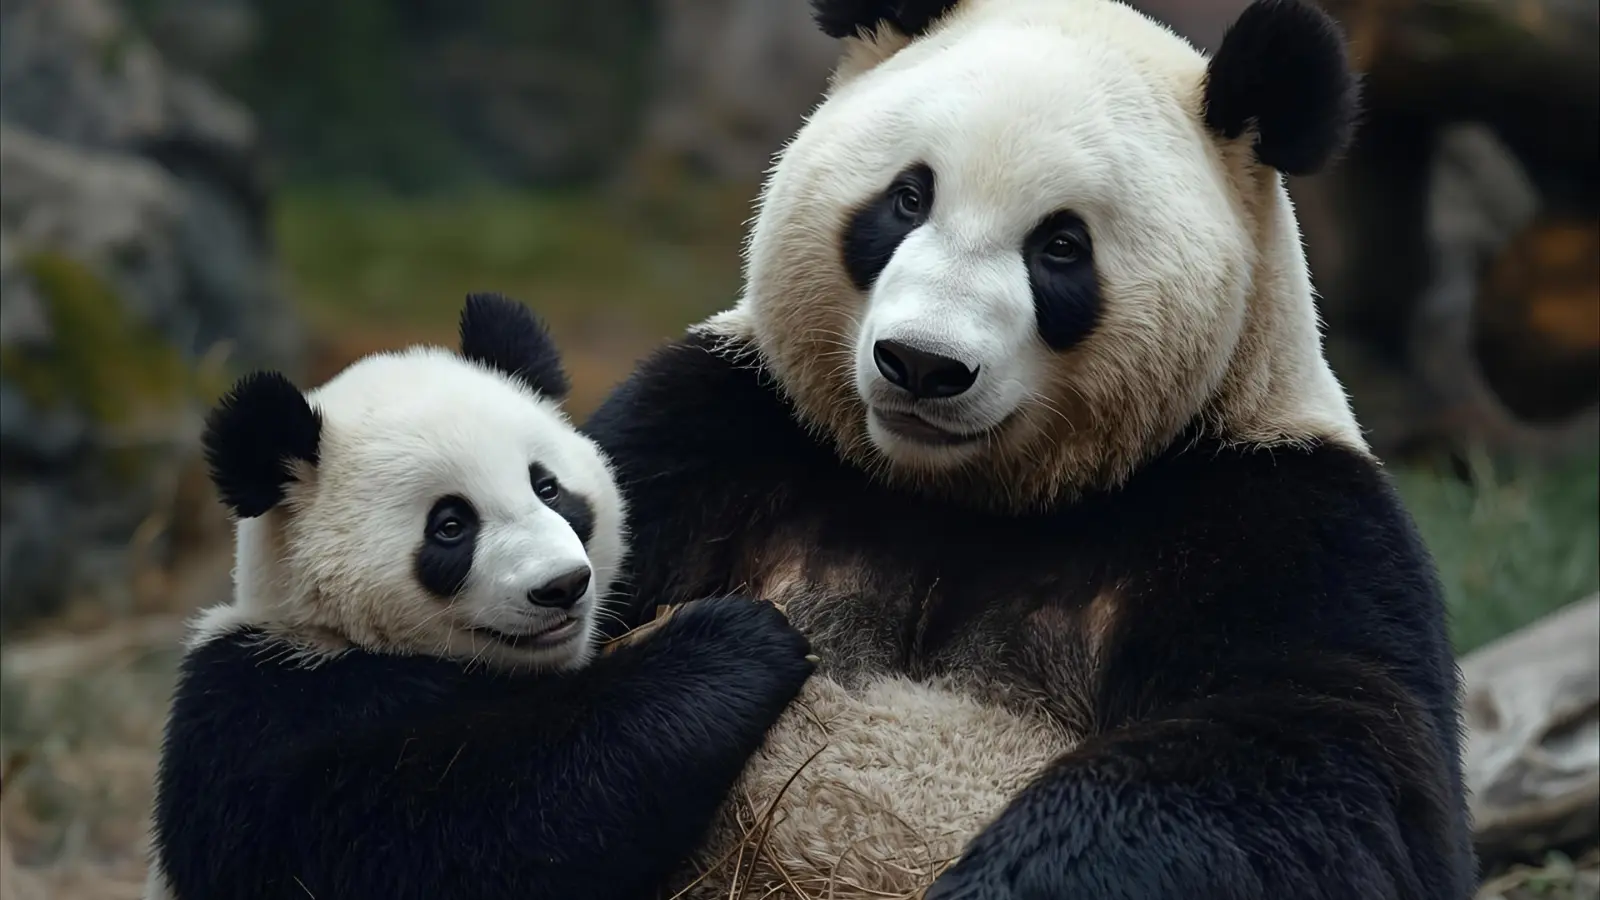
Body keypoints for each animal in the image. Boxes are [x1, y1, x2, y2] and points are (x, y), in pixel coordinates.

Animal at [143, 293, 816, 900]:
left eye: (547, 487)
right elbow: (459, 836)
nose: (562, 585)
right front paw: (732, 644)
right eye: (450, 526)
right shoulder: (266, 718)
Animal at [583, 1, 1477, 898]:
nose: (923, 363)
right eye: (908, 197)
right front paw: (724, 651)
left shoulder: (1279, 513)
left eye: (1061, 246)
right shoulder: (717, 430)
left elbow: (1321, 758)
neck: (958, 493)